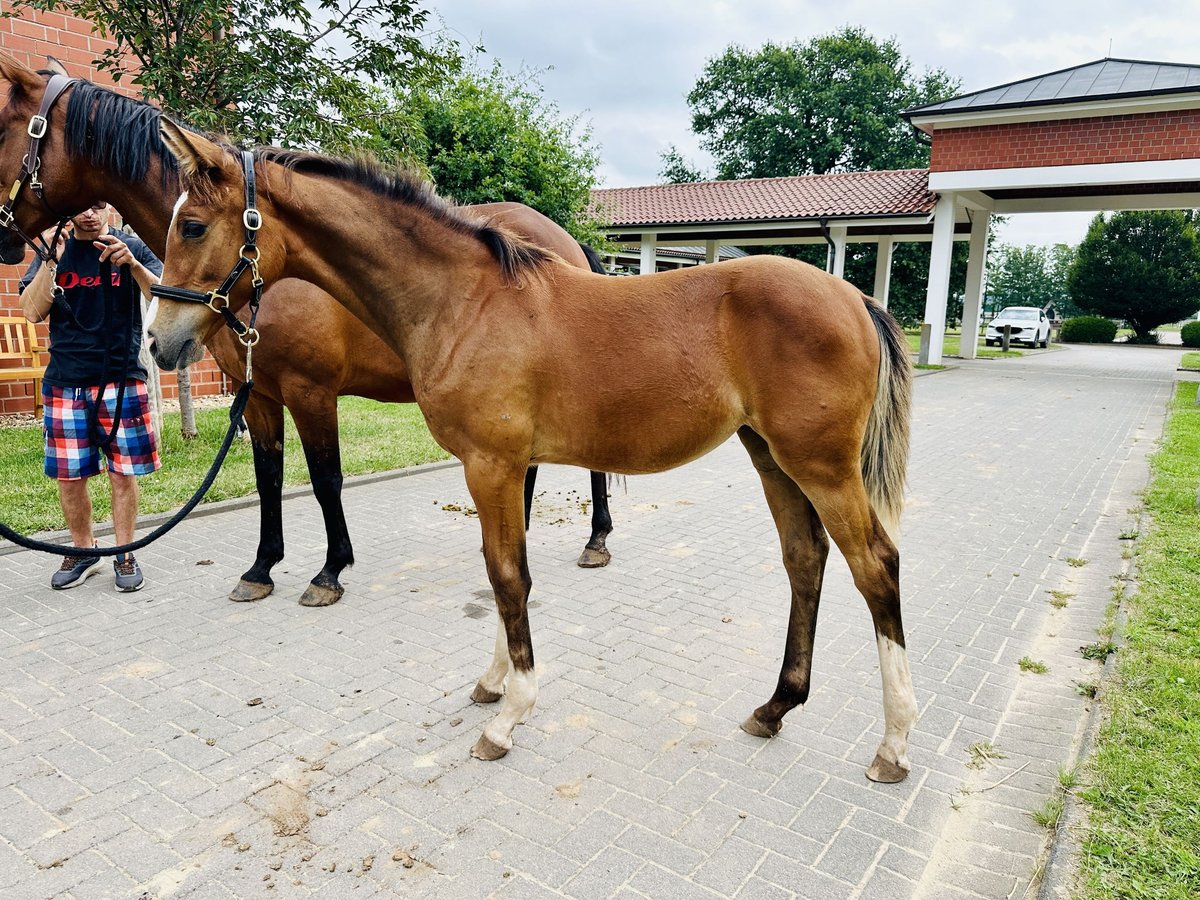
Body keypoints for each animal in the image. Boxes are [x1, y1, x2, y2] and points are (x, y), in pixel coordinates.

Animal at [0, 58, 619, 614]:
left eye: (3, 129)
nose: (161, 342)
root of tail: (565, 242)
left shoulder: (310, 390)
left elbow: (325, 479)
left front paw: (329, 571)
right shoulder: (258, 393)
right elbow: (269, 477)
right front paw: (260, 568)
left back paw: (596, 540)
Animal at [147, 123, 916, 787]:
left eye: (193, 225)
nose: (160, 342)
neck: (465, 302)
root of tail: (856, 297)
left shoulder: (489, 464)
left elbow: (508, 577)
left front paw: (508, 718)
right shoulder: (504, 466)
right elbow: (501, 573)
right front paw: (493, 686)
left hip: (821, 465)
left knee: (875, 567)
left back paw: (893, 743)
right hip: (771, 457)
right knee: (805, 560)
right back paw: (776, 707)